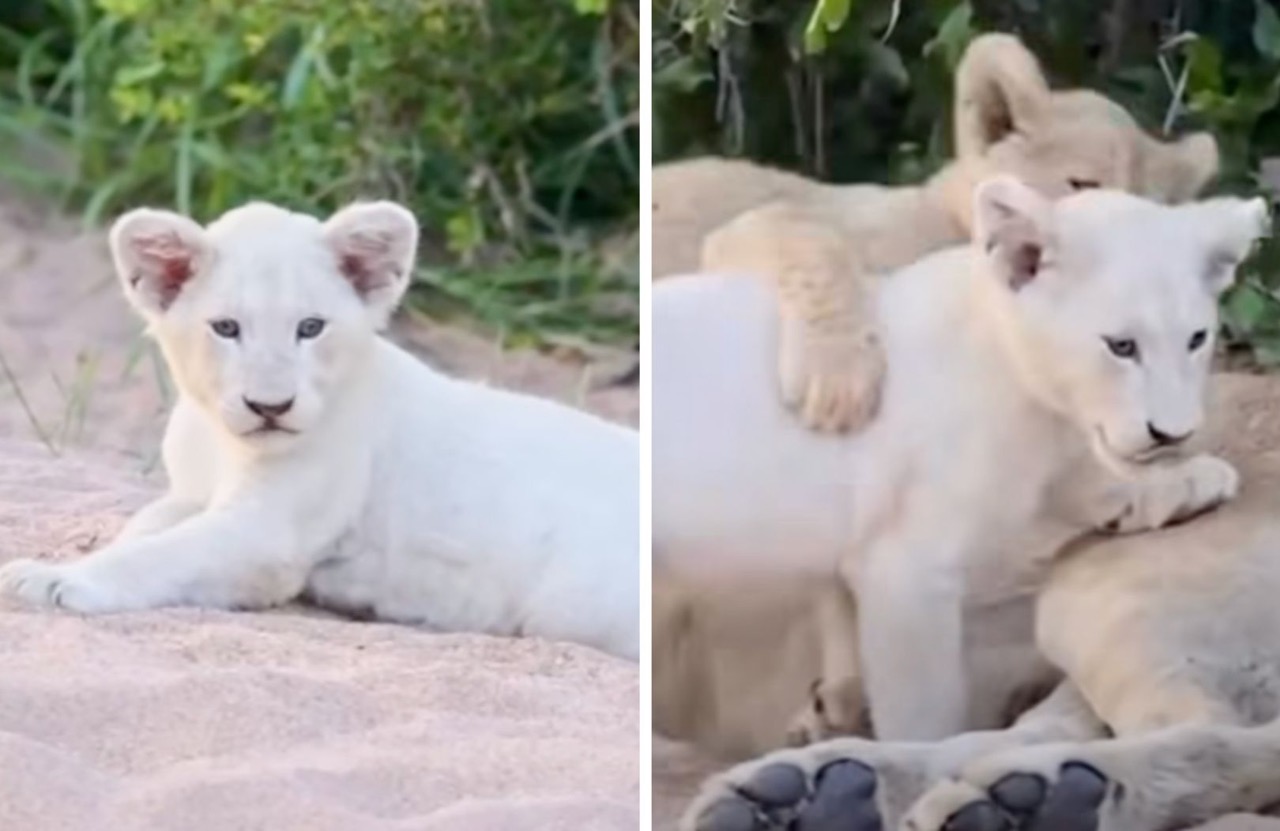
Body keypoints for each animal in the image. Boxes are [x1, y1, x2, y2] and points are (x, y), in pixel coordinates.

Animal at [0, 200, 639, 662]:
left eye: (310, 327)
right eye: (226, 327)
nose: (270, 406)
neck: (221, 441)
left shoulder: (266, 535)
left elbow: (160, 555)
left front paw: (52, 579)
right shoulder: (190, 494)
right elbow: (144, 531)